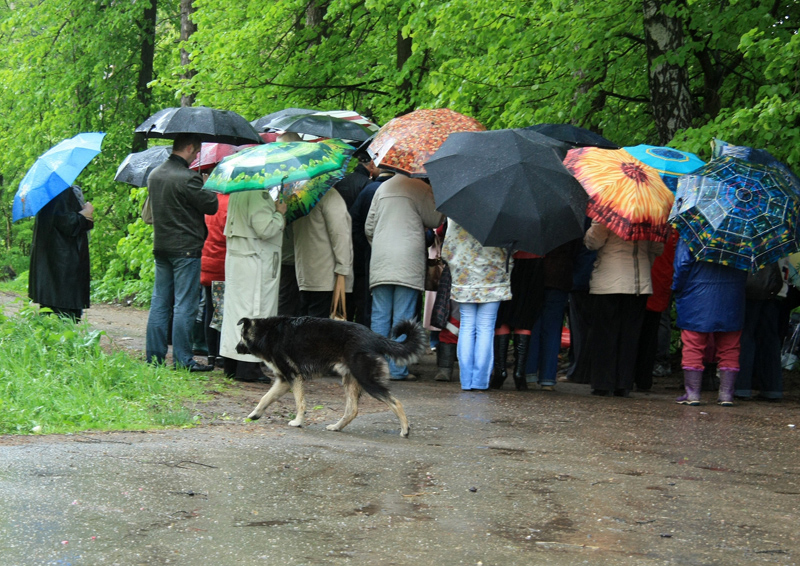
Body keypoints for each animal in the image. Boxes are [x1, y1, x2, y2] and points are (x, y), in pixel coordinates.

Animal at [236, 318, 428, 438]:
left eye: (240, 336)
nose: (236, 349)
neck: (266, 332)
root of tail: (374, 337)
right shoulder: (284, 381)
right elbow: (265, 398)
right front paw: (254, 415)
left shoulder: (293, 377)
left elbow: (300, 403)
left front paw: (298, 421)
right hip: (350, 381)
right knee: (352, 410)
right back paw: (336, 427)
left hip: (367, 381)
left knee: (396, 402)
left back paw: (405, 429)